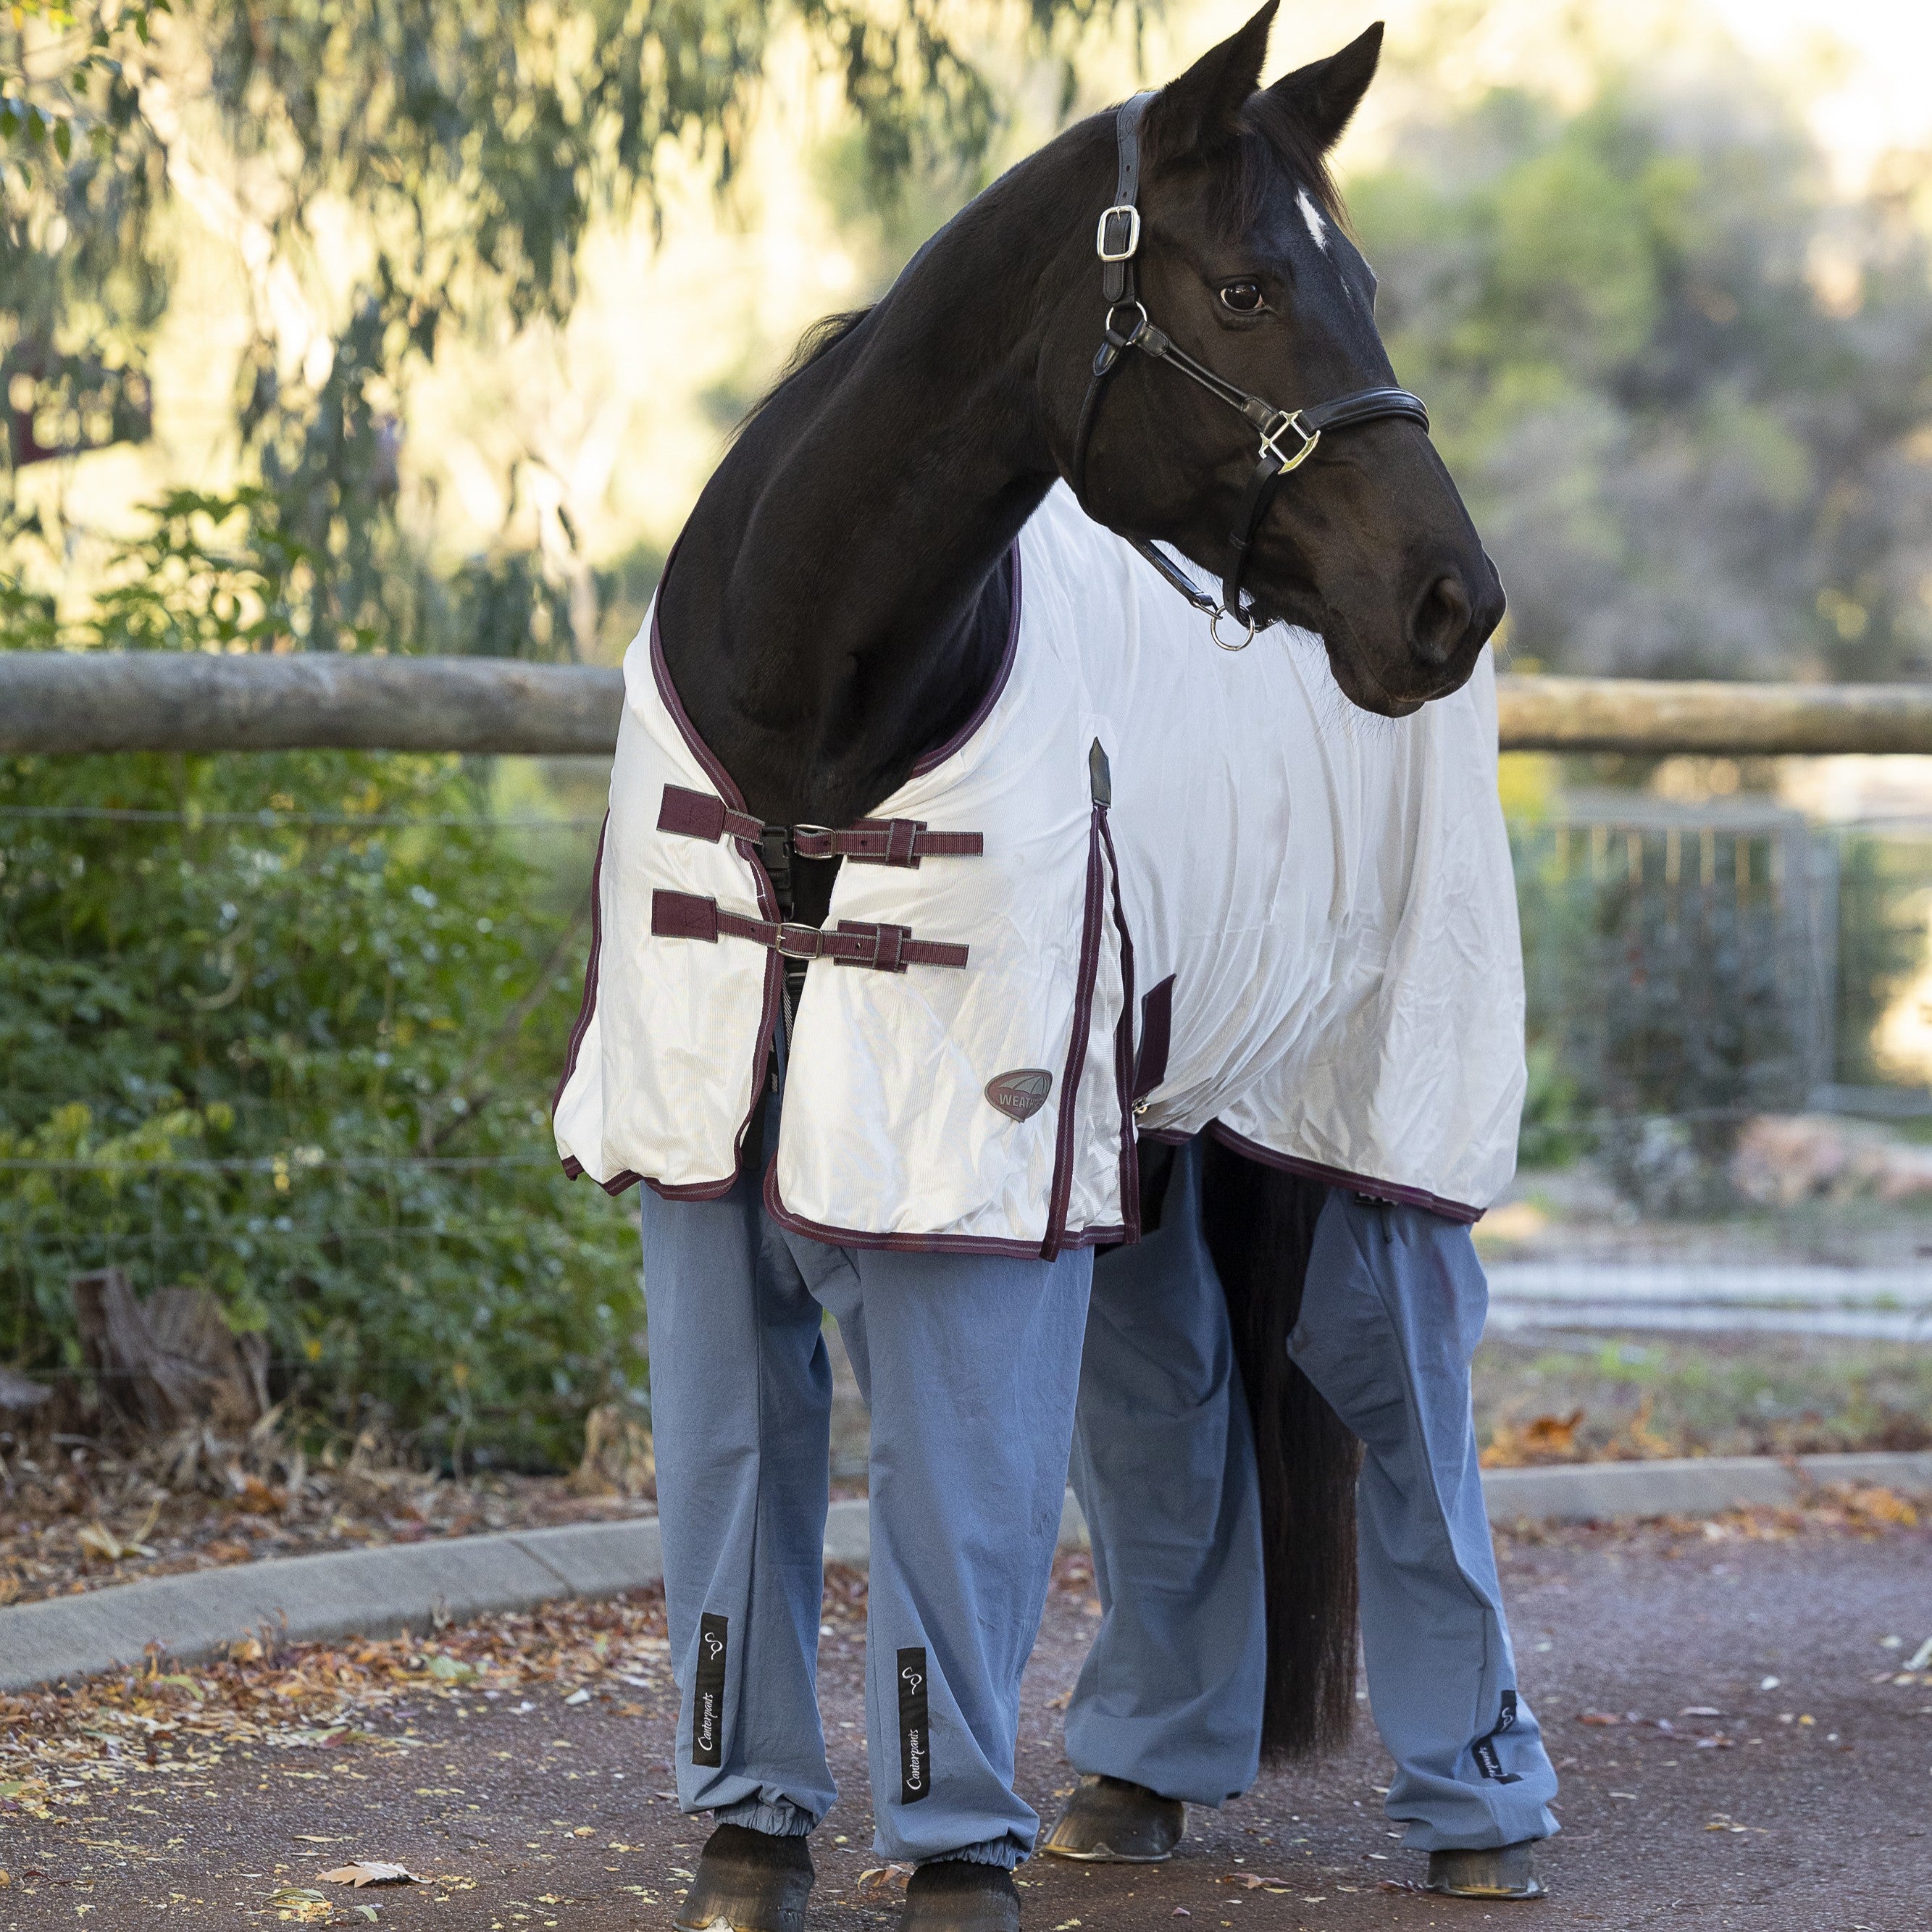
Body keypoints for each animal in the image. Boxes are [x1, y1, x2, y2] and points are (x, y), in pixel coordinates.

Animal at [555, 8, 1551, 1926]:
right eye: (1244, 289)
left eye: (1360, 283)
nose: (1450, 603)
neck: (815, 709)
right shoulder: (714, 1205)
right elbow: (736, 1496)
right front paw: (745, 1841)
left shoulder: (968, 1207)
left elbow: (964, 1516)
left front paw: (956, 1865)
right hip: (1144, 1150)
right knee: (1182, 1409)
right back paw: (1135, 1781)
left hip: (1370, 1133)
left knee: (1406, 1409)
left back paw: (1483, 1816)